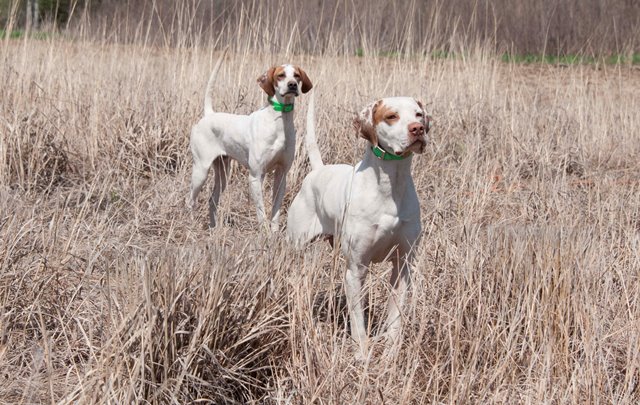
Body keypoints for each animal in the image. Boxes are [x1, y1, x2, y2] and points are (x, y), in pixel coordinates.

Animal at [286, 94, 430, 356]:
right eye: (391, 116)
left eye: (418, 114)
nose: (418, 129)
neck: (391, 185)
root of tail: (319, 171)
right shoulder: (356, 269)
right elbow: (357, 319)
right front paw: (362, 354)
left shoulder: (402, 266)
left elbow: (395, 317)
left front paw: (390, 352)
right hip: (295, 248)